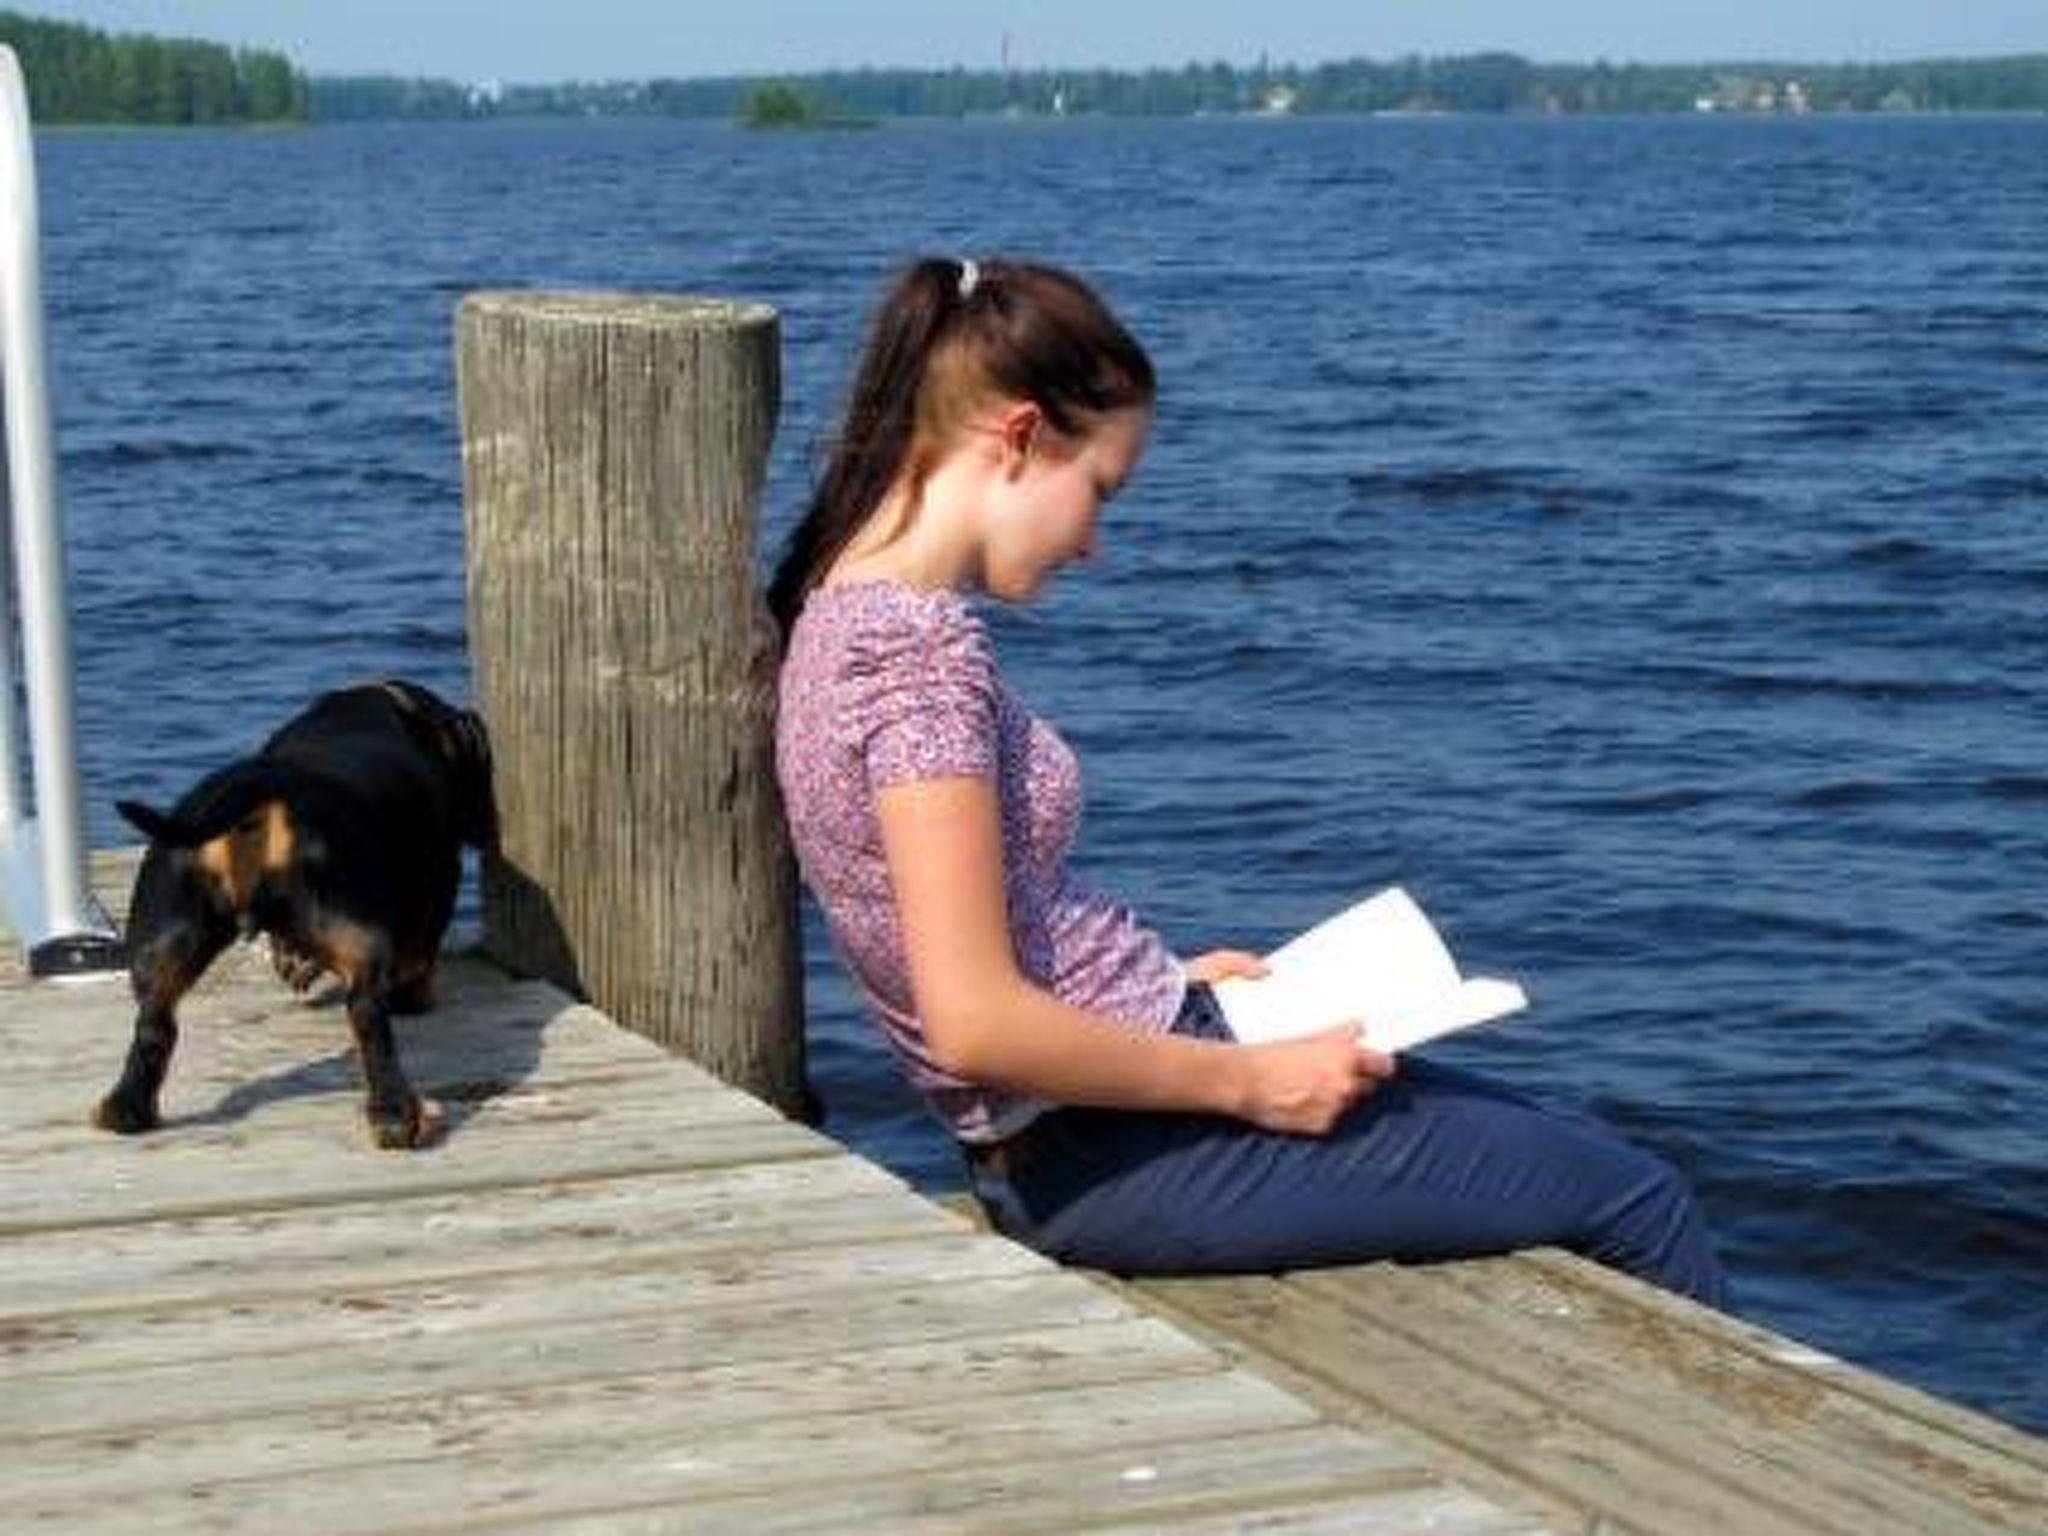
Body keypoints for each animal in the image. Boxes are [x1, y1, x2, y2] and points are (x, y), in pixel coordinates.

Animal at [96, 679, 495, 1146]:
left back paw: (126, 1109)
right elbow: (419, 955)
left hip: (163, 937)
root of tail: (260, 784)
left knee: (153, 1024)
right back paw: (395, 1116)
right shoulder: (438, 880)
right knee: (367, 1015)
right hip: (358, 928)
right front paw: (416, 996)